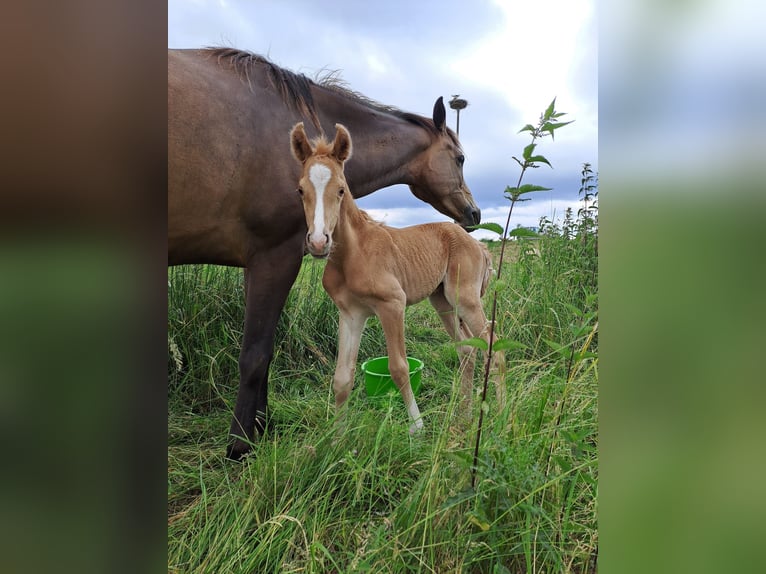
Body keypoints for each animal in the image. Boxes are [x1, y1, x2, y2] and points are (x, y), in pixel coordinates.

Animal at [292, 124, 500, 432]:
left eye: (341, 189)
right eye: (300, 190)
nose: (318, 242)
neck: (354, 253)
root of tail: (478, 244)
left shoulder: (392, 305)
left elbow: (399, 368)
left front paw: (417, 428)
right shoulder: (351, 313)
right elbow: (342, 377)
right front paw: (337, 436)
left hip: (465, 299)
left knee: (492, 345)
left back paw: (503, 413)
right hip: (442, 302)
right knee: (466, 349)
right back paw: (464, 414)